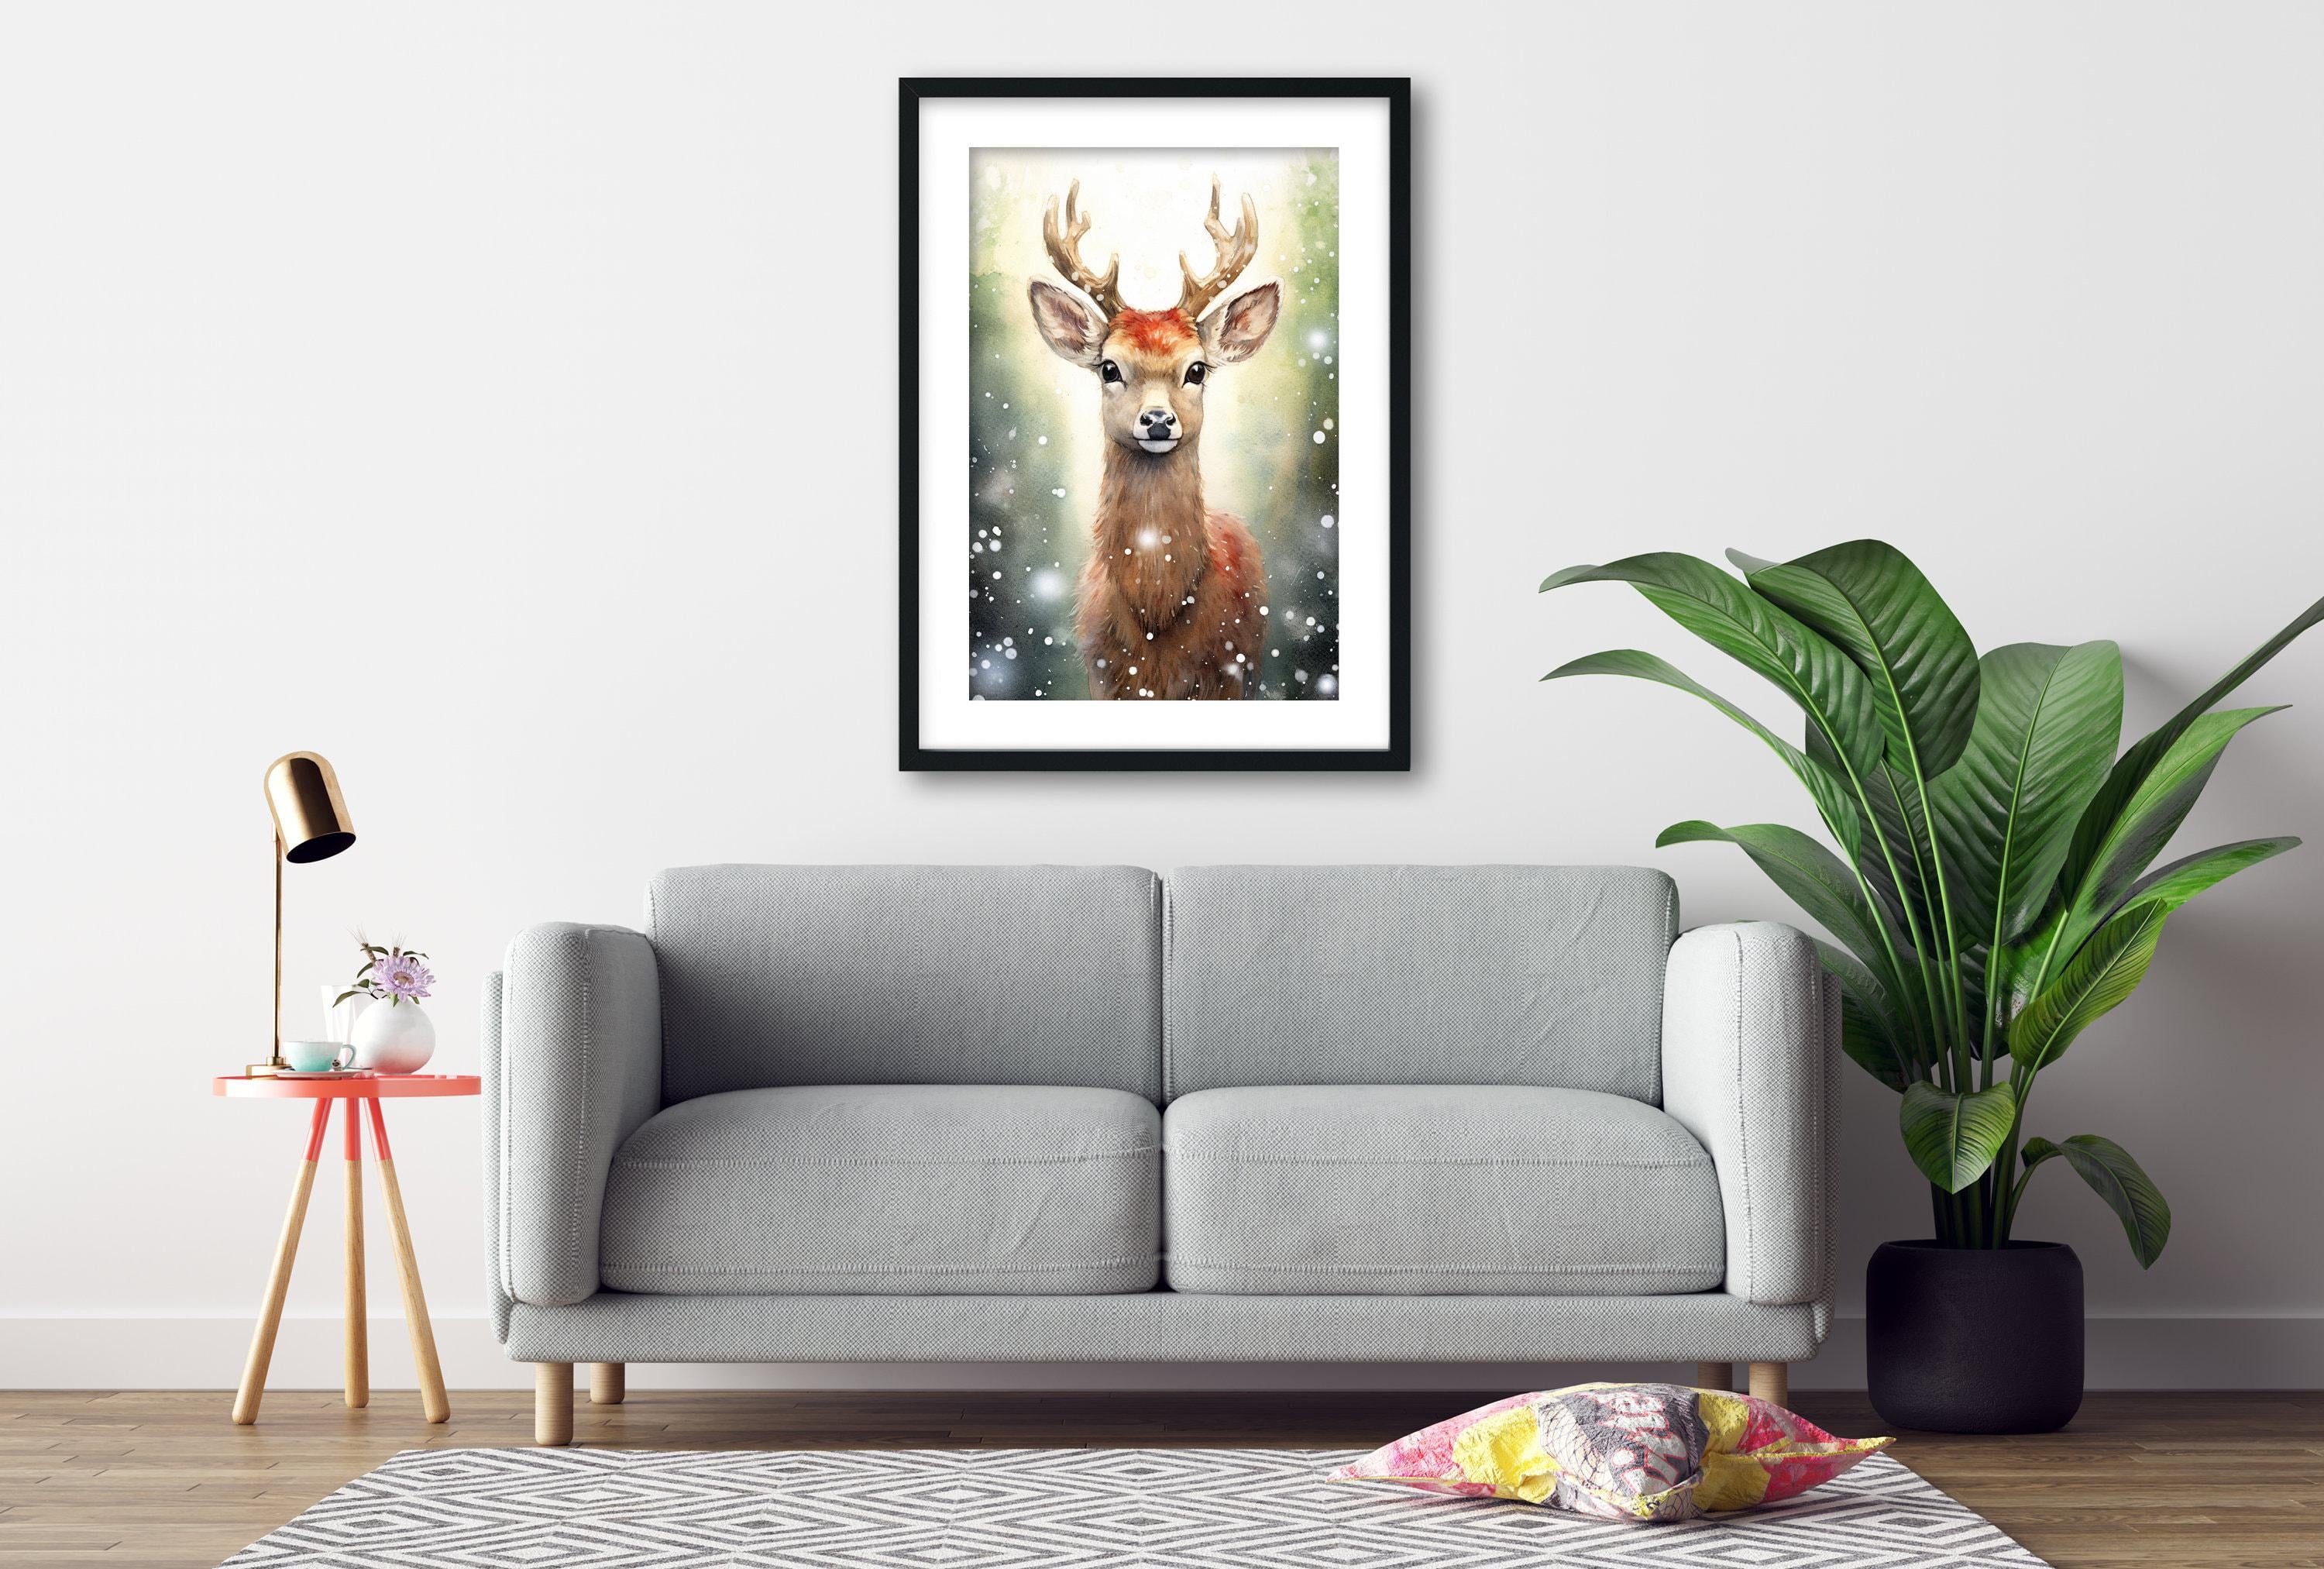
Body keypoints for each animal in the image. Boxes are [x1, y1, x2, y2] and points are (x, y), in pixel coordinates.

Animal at [1027, 179, 1280, 700]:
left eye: (1197, 369)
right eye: (1109, 368)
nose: (1159, 420)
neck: (1157, 617)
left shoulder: (1227, 675)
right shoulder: (1103, 675)